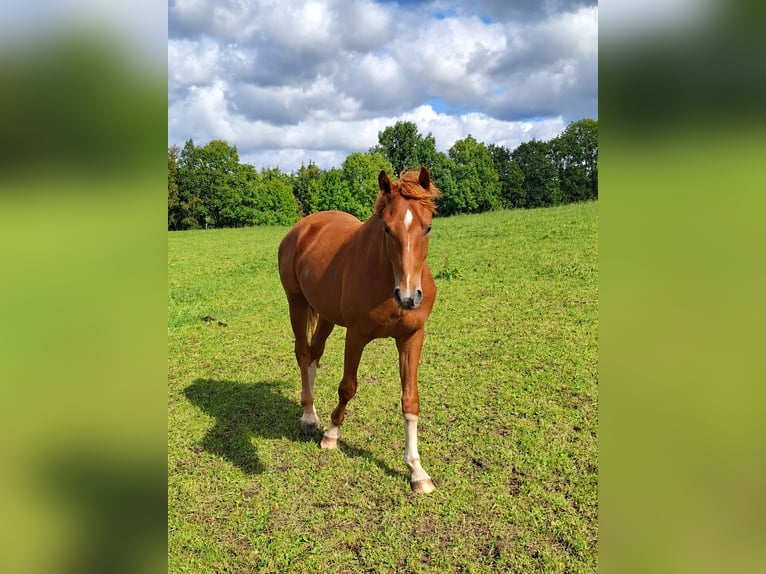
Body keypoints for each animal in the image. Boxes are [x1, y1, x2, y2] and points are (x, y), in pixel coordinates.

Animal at [277, 166, 441, 493]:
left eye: (428, 227)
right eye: (387, 229)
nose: (408, 297)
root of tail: (302, 227)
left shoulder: (411, 338)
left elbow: (410, 400)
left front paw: (417, 471)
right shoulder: (356, 336)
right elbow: (347, 387)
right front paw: (331, 435)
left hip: (326, 315)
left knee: (314, 354)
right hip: (297, 304)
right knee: (302, 353)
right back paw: (308, 417)